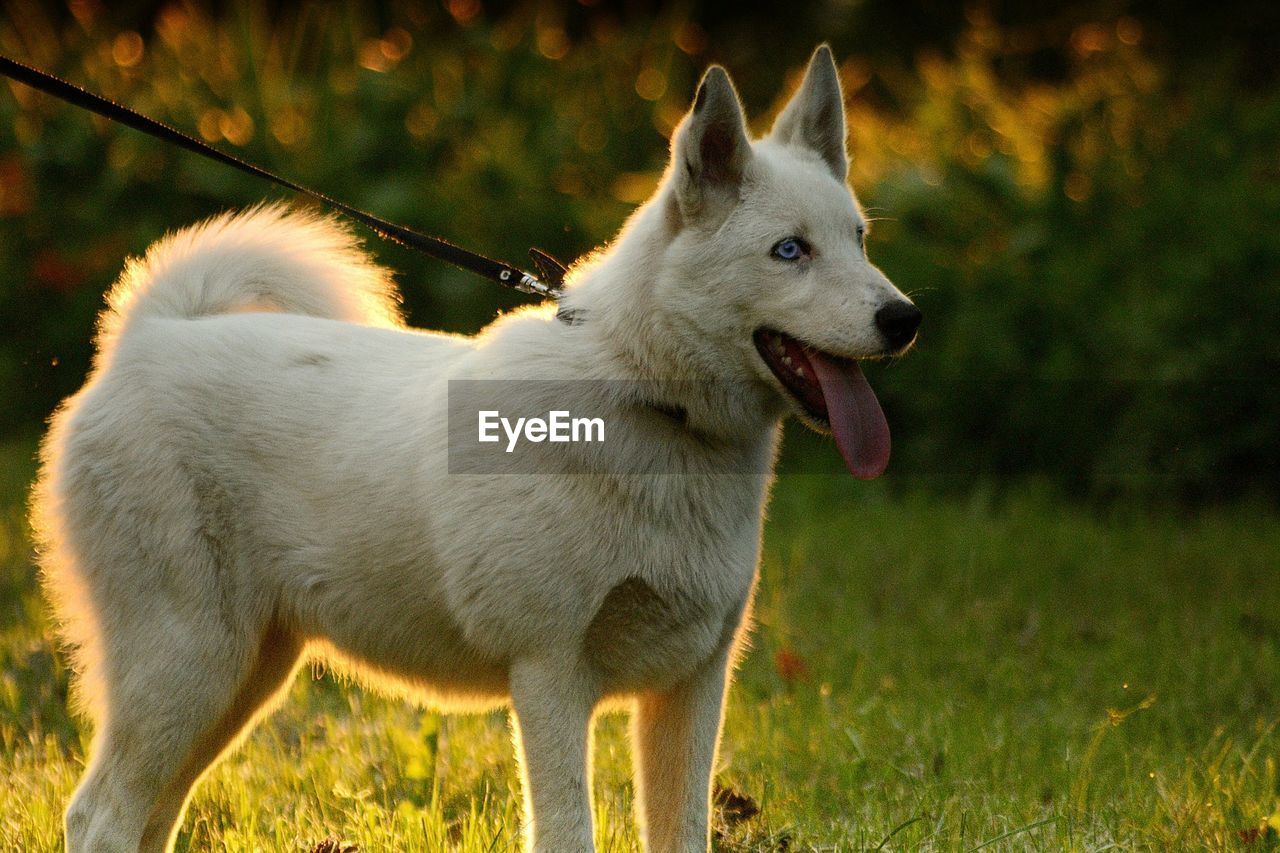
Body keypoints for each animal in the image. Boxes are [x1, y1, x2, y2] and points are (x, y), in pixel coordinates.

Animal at [32, 46, 921, 850]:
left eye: (858, 238)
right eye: (789, 250)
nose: (905, 319)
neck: (647, 398)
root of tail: (148, 337)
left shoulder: (692, 687)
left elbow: (683, 831)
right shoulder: (551, 675)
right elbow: (568, 831)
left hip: (239, 679)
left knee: (147, 816)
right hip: (187, 665)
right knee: (99, 814)